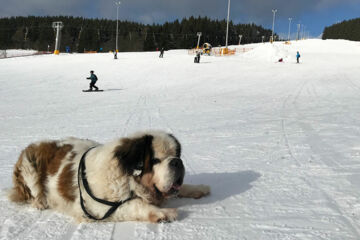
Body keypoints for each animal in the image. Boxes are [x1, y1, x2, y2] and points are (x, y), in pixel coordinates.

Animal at [7, 130, 211, 222]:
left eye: (176, 154)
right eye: (155, 160)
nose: (177, 162)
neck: (128, 177)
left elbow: (183, 188)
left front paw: (199, 188)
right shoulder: (95, 207)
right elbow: (135, 204)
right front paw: (163, 213)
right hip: (29, 163)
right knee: (34, 191)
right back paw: (40, 202)